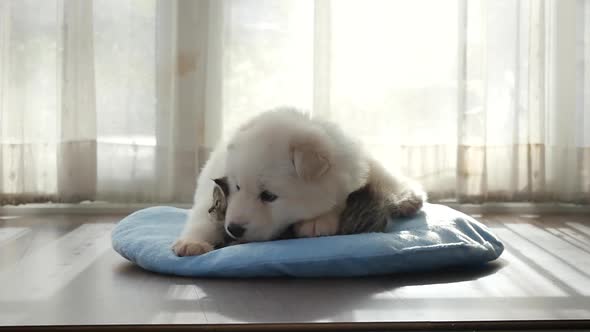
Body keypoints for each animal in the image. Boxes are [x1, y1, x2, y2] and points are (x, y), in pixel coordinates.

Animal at [173, 107, 428, 255]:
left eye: (269, 196)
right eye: (236, 187)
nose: (234, 229)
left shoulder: (348, 175)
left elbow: (339, 200)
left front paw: (317, 221)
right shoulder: (210, 190)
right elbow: (201, 219)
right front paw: (192, 243)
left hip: (371, 164)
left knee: (388, 177)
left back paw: (409, 199)